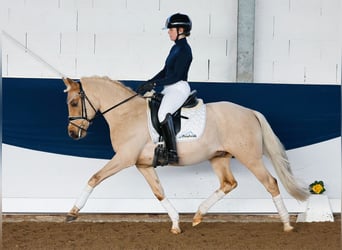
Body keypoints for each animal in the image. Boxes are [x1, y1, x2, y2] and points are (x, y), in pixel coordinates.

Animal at [62, 76, 308, 234]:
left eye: (74, 103)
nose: (73, 134)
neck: (127, 114)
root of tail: (250, 112)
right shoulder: (143, 165)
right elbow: (159, 193)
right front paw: (175, 224)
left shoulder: (124, 158)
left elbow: (94, 178)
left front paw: (72, 212)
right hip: (219, 157)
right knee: (229, 183)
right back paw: (198, 215)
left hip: (250, 158)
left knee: (271, 183)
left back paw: (287, 224)